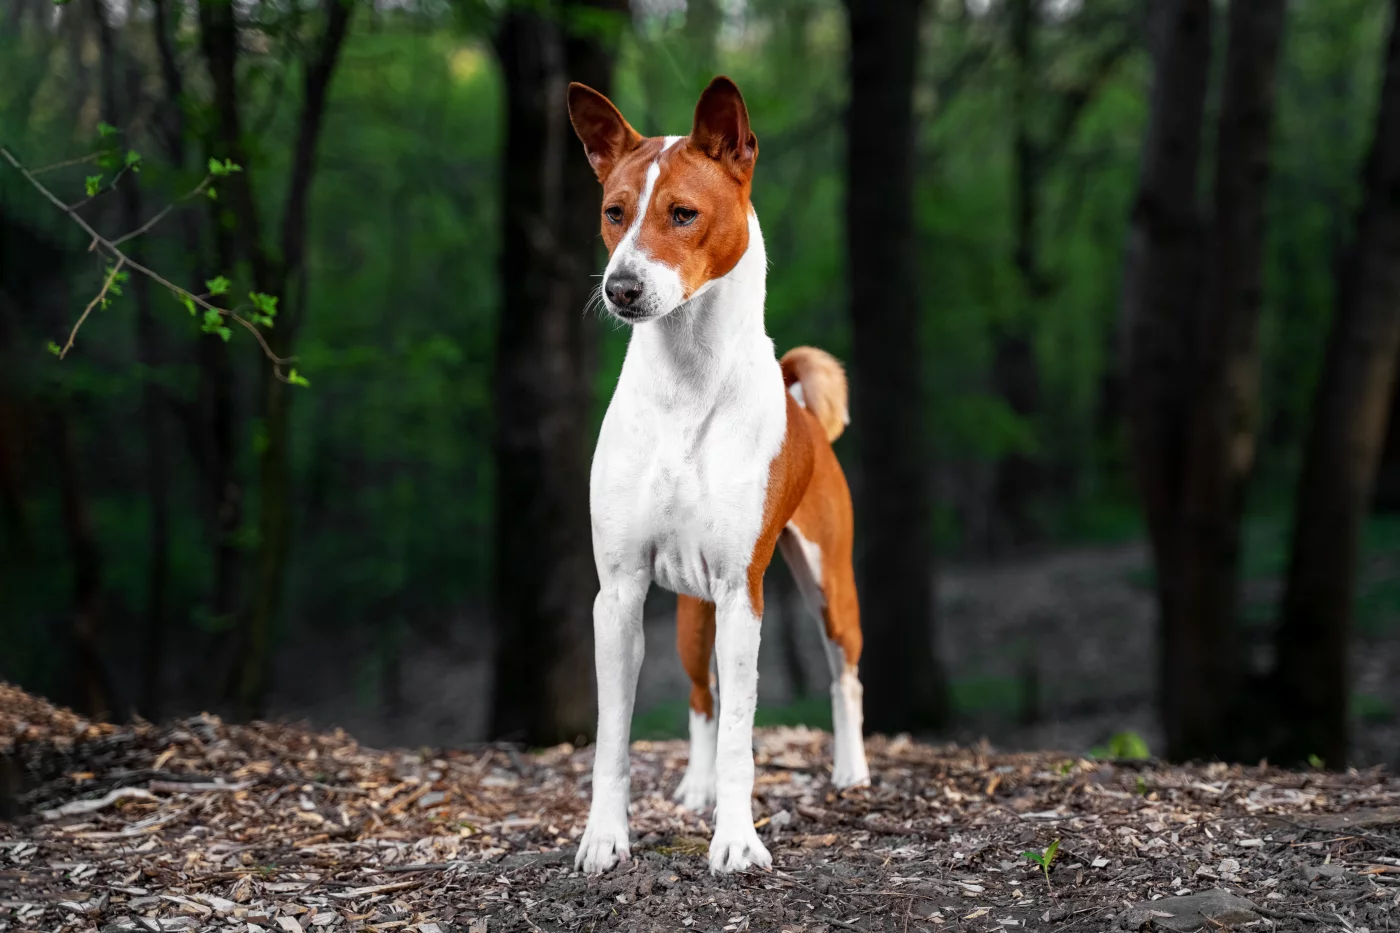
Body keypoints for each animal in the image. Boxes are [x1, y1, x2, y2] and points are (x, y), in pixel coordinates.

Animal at [565, 74, 862, 874]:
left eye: (683, 214)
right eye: (613, 213)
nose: (621, 287)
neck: (685, 384)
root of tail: (803, 411)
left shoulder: (741, 589)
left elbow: (741, 737)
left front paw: (736, 842)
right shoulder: (619, 593)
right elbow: (614, 737)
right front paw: (604, 837)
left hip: (826, 584)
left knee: (842, 673)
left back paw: (852, 770)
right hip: (693, 613)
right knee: (704, 696)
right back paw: (695, 787)